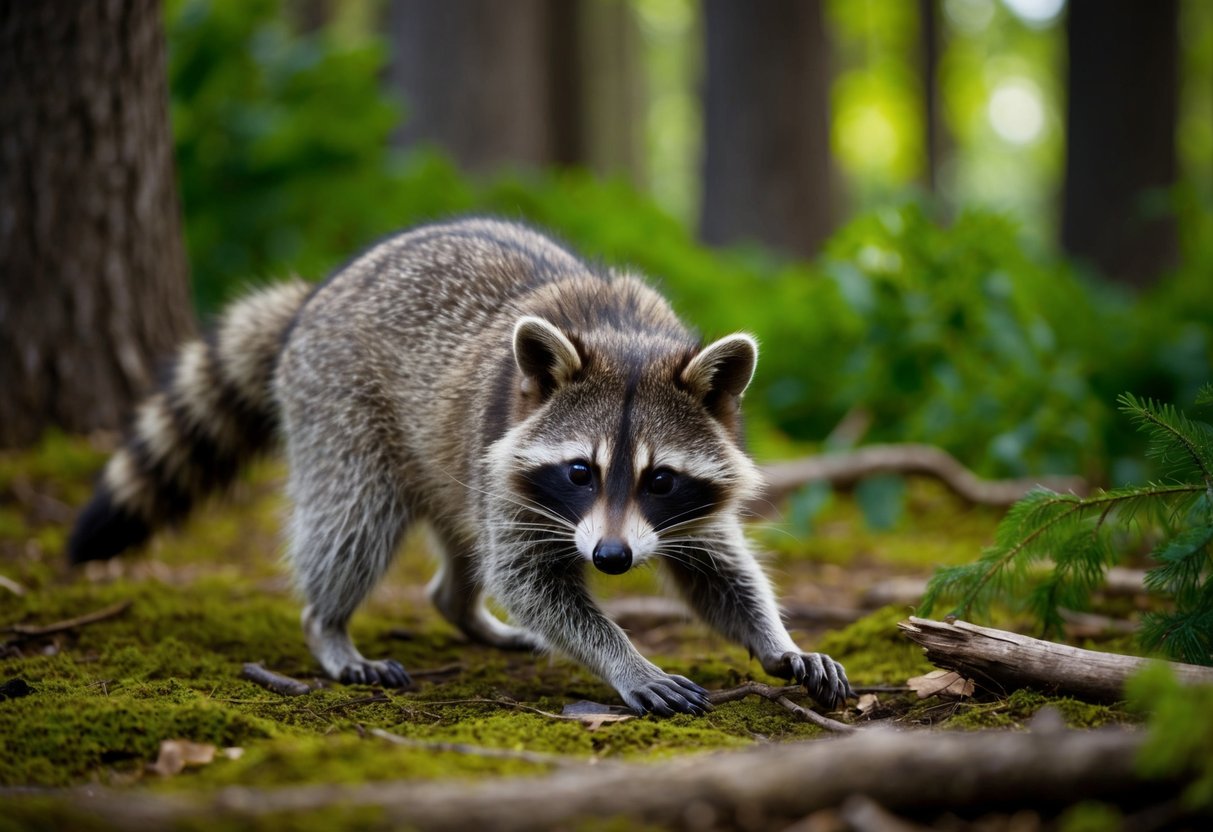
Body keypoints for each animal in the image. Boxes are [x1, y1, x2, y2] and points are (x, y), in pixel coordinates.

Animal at [69, 218, 853, 715]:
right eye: (580, 472)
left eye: (659, 478)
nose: (610, 558)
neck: (623, 336)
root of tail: (313, 299)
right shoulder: (515, 458)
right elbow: (529, 579)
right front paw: (624, 657)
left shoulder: (676, 505)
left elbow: (717, 568)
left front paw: (777, 640)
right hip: (343, 408)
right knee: (353, 524)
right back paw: (329, 624)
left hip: (450, 457)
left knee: (459, 539)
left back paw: (460, 607)